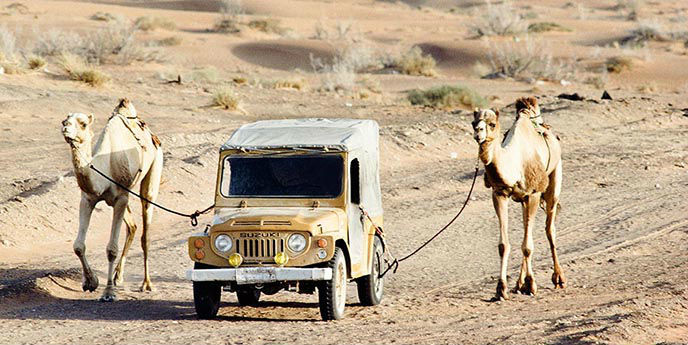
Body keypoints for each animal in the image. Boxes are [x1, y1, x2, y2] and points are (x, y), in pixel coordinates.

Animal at [61, 98, 163, 300]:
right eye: (65, 120)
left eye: (83, 124)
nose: (65, 128)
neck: (105, 167)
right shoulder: (88, 199)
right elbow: (78, 246)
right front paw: (91, 282)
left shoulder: (120, 198)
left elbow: (111, 249)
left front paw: (108, 292)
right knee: (132, 226)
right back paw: (118, 276)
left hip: (153, 170)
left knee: (145, 231)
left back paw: (146, 284)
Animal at [472, 95, 564, 300]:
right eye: (473, 123)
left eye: (492, 124)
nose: (478, 133)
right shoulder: (500, 194)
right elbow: (503, 245)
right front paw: (501, 289)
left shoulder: (534, 193)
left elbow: (528, 246)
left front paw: (531, 285)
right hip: (523, 200)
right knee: (525, 228)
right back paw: (518, 284)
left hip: (554, 179)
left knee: (550, 229)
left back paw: (558, 278)